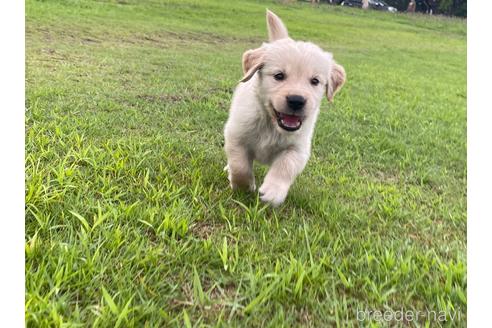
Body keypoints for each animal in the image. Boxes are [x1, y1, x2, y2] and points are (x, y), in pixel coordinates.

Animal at [224, 10, 346, 206]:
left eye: (315, 81)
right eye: (279, 76)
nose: (296, 100)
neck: (272, 124)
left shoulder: (298, 148)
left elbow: (286, 165)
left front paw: (273, 191)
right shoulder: (236, 135)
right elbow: (239, 165)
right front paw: (243, 186)